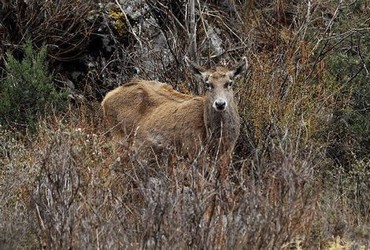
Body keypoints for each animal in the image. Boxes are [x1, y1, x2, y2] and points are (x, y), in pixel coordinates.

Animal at [101, 56, 249, 174]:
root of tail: (105, 98)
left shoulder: (227, 155)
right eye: (208, 84)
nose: (220, 103)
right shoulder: (190, 151)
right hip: (119, 138)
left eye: (229, 83)